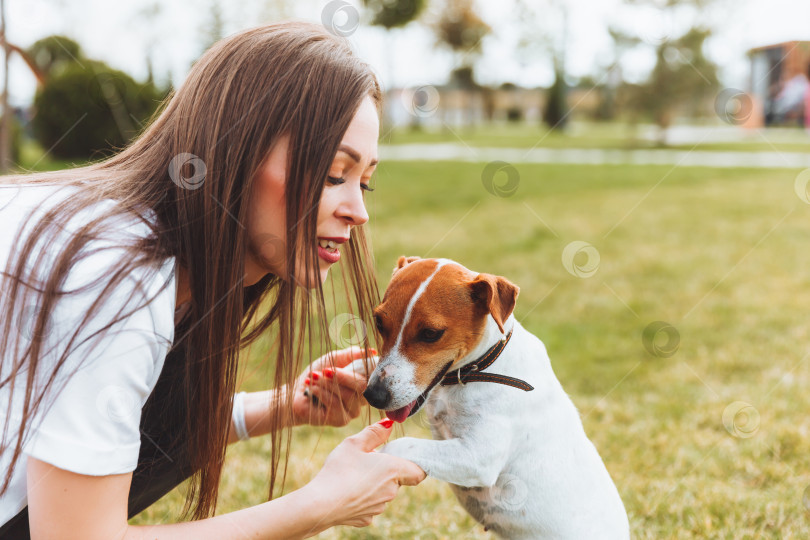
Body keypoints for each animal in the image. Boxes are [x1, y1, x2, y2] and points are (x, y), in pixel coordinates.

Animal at [362, 255, 632, 536]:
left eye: (430, 334)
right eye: (379, 322)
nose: (374, 395)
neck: (476, 370)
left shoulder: (478, 456)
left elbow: (401, 445)